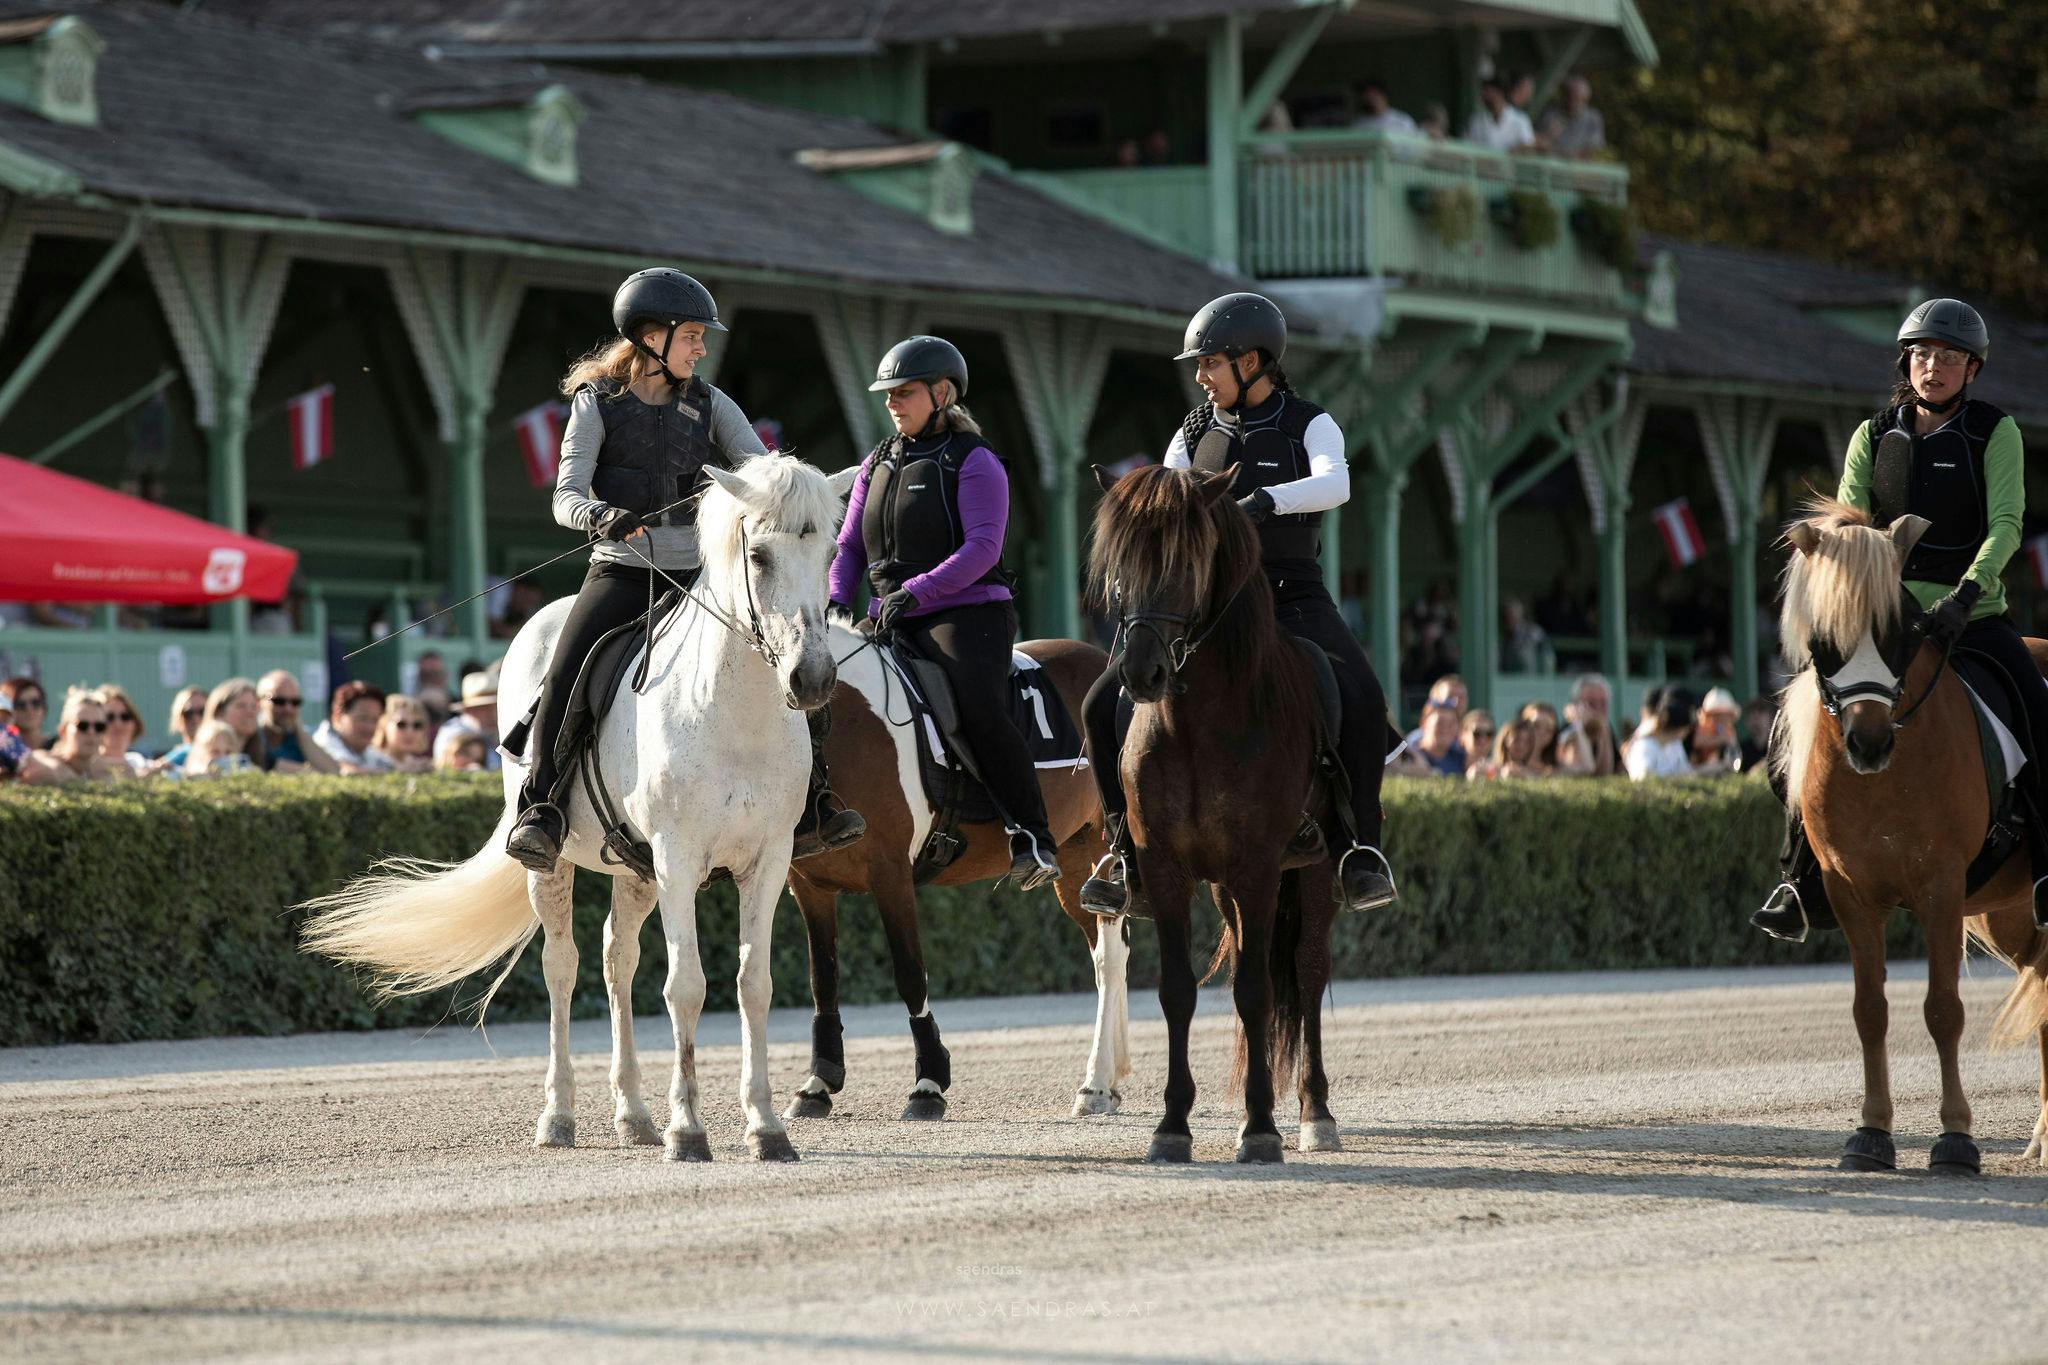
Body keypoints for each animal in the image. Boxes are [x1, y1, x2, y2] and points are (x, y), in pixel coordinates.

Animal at [299, 456, 843, 1162]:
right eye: (759, 555)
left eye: (830, 551)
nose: (813, 680)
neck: (735, 710)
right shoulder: (678, 860)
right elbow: (686, 987)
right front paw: (688, 1130)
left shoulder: (768, 862)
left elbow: (755, 985)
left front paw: (766, 1126)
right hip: (556, 867)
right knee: (562, 966)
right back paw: (559, 1116)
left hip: (635, 868)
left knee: (617, 963)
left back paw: (634, 1114)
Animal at [782, 618, 1138, 1121]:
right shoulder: (809, 886)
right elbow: (823, 980)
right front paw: (817, 1083)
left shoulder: (891, 876)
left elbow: (911, 973)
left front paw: (929, 1083)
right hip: (1072, 861)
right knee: (1110, 952)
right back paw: (1112, 1078)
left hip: (1104, 846)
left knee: (1109, 957)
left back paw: (1095, 1085)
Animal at [1089, 462, 1343, 1162]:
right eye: (1120, 562)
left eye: (1186, 560)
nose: (1141, 672)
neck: (1199, 724)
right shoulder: (1165, 868)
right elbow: (1178, 991)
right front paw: (1172, 1123)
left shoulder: (1260, 868)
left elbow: (1258, 990)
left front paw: (1260, 1128)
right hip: (1225, 887)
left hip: (1311, 873)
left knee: (1306, 973)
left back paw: (1315, 1111)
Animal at [1777, 501, 2048, 1178]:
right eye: (1824, 640)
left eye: (1898, 632)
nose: (1868, 743)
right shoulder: (1851, 894)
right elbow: (1869, 1010)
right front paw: (1871, 1133)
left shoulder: (1940, 890)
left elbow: (1942, 1009)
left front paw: (1955, 1140)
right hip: (2010, 913)